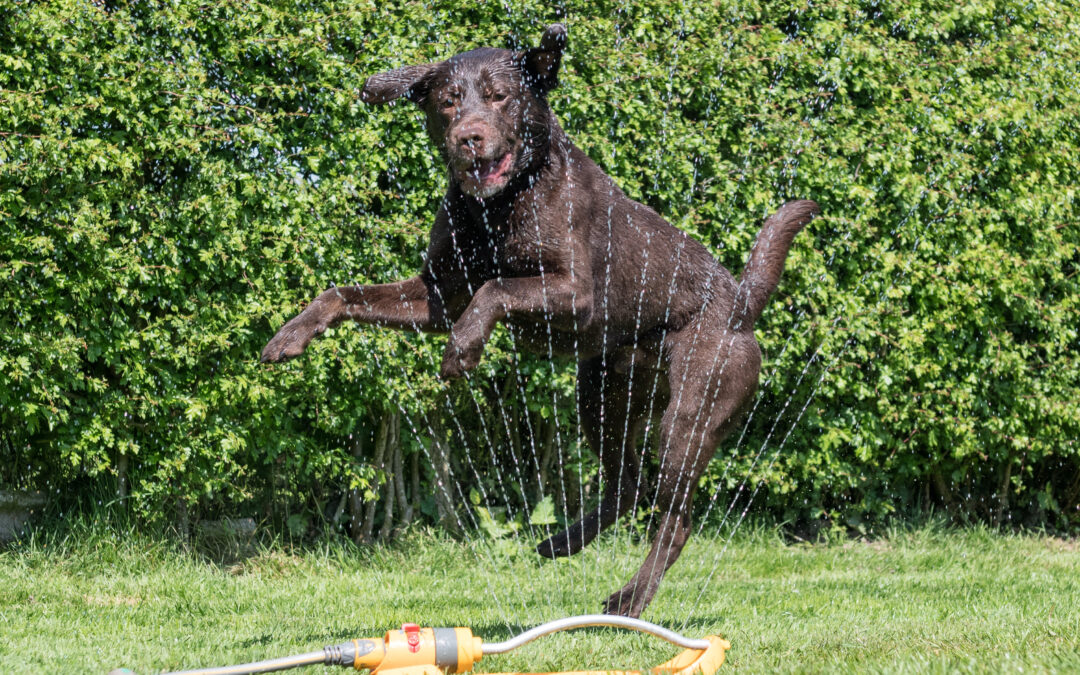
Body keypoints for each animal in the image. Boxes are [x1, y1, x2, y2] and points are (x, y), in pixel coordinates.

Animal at [261, 24, 816, 617]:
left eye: (501, 96)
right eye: (448, 101)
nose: (469, 138)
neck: (499, 205)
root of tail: (741, 303)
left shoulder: (576, 292)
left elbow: (497, 289)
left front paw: (462, 350)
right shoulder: (437, 294)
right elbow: (342, 292)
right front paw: (289, 336)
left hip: (689, 416)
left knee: (674, 518)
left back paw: (629, 599)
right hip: (603, 396)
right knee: (626, 484)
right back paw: (560, 543)